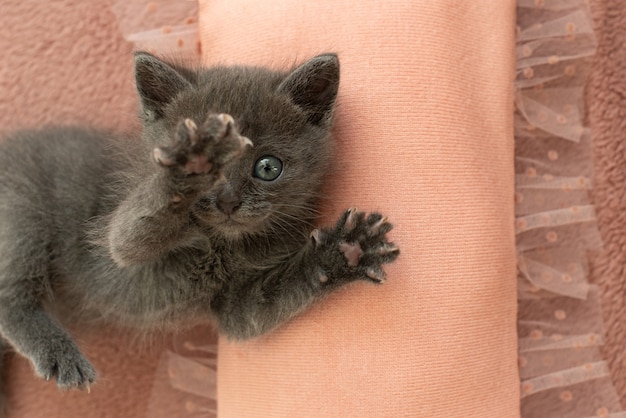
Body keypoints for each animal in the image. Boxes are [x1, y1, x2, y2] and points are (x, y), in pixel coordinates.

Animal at [0, 54, 400, 396]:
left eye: (268, 167)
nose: (228, 202)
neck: (221, 244)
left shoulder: (236, 302)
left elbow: (261, 307)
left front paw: (344, 251)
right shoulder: (120, 245)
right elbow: (129, 235)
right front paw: (191, 161)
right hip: (22, 209)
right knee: (9, 293)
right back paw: (60, 354)